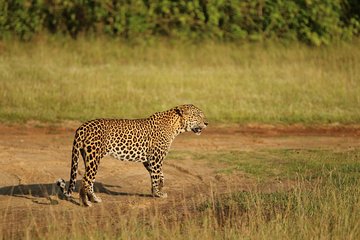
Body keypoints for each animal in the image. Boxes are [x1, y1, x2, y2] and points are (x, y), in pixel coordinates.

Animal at [56, 103, 208, 206]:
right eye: (198, 115)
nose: (207, 123)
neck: (176, 126)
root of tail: (81, 127)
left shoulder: (149, 160)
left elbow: (160, 175)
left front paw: (158, 189)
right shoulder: (156, 158)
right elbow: (156, 175)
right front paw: (158, 193)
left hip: (87, 157)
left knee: (89, 180)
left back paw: (94, 199)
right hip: (94, 157)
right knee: (86, 180)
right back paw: (86, 203)